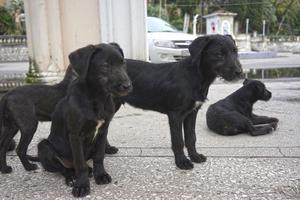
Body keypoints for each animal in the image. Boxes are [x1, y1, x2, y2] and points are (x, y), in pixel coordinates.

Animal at [34, 44, 131, 197]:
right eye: (105, 66)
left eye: (123, 63)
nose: (127, 86)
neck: (97, 98)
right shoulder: (76, 135)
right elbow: (80, 164)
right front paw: (82, 186)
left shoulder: (103, 131)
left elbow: (99, 157)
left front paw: (100, 175)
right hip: (44, 146)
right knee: (64, 168)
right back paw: (72, 177)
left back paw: (90, 171)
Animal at [113, 34, 243, 170]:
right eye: (219, 54)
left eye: (235, 51)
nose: (240, 72)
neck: (195, 76)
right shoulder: (175, 114)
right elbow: (178, 140)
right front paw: (182, 162)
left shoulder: (191, 113)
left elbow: (191, 137)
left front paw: (195, 156)